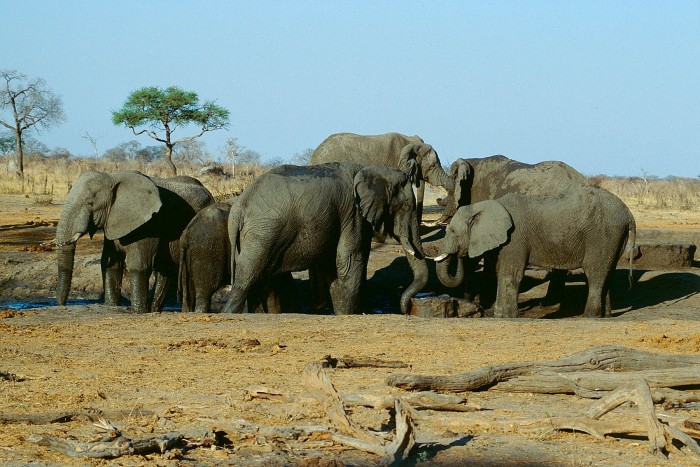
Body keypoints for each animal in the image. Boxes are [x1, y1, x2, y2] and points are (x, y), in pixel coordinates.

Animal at [55, 170, 213, 312]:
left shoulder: (148, 224)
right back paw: (154, 309)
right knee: (166, 269)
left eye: (90, 203)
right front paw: (111, 306)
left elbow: (138, 264)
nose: (61, 305)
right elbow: (110, 263)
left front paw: (138, 311)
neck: (112, 177)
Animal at [221, 163, 430, 316]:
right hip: (263, 233)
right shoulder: (353, 213)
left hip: (251, 237)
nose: (407, 311)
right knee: (247, 278)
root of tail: (239, 207)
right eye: (405, 207)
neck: (374, 169)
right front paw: (348, 315)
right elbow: (349, 261)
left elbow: (334, 267)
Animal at [432, 188, 636, 320]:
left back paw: (588, 317)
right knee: (608, 273)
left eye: (452, 232)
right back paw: (605, 316)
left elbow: (510, 274)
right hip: (615, 238)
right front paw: (500, 315)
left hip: (602, 235)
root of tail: (628, 214)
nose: (459, 254)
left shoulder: (515, 238)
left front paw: (505, 316)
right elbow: (500, 271)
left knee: (595, 274)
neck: (486, 206)